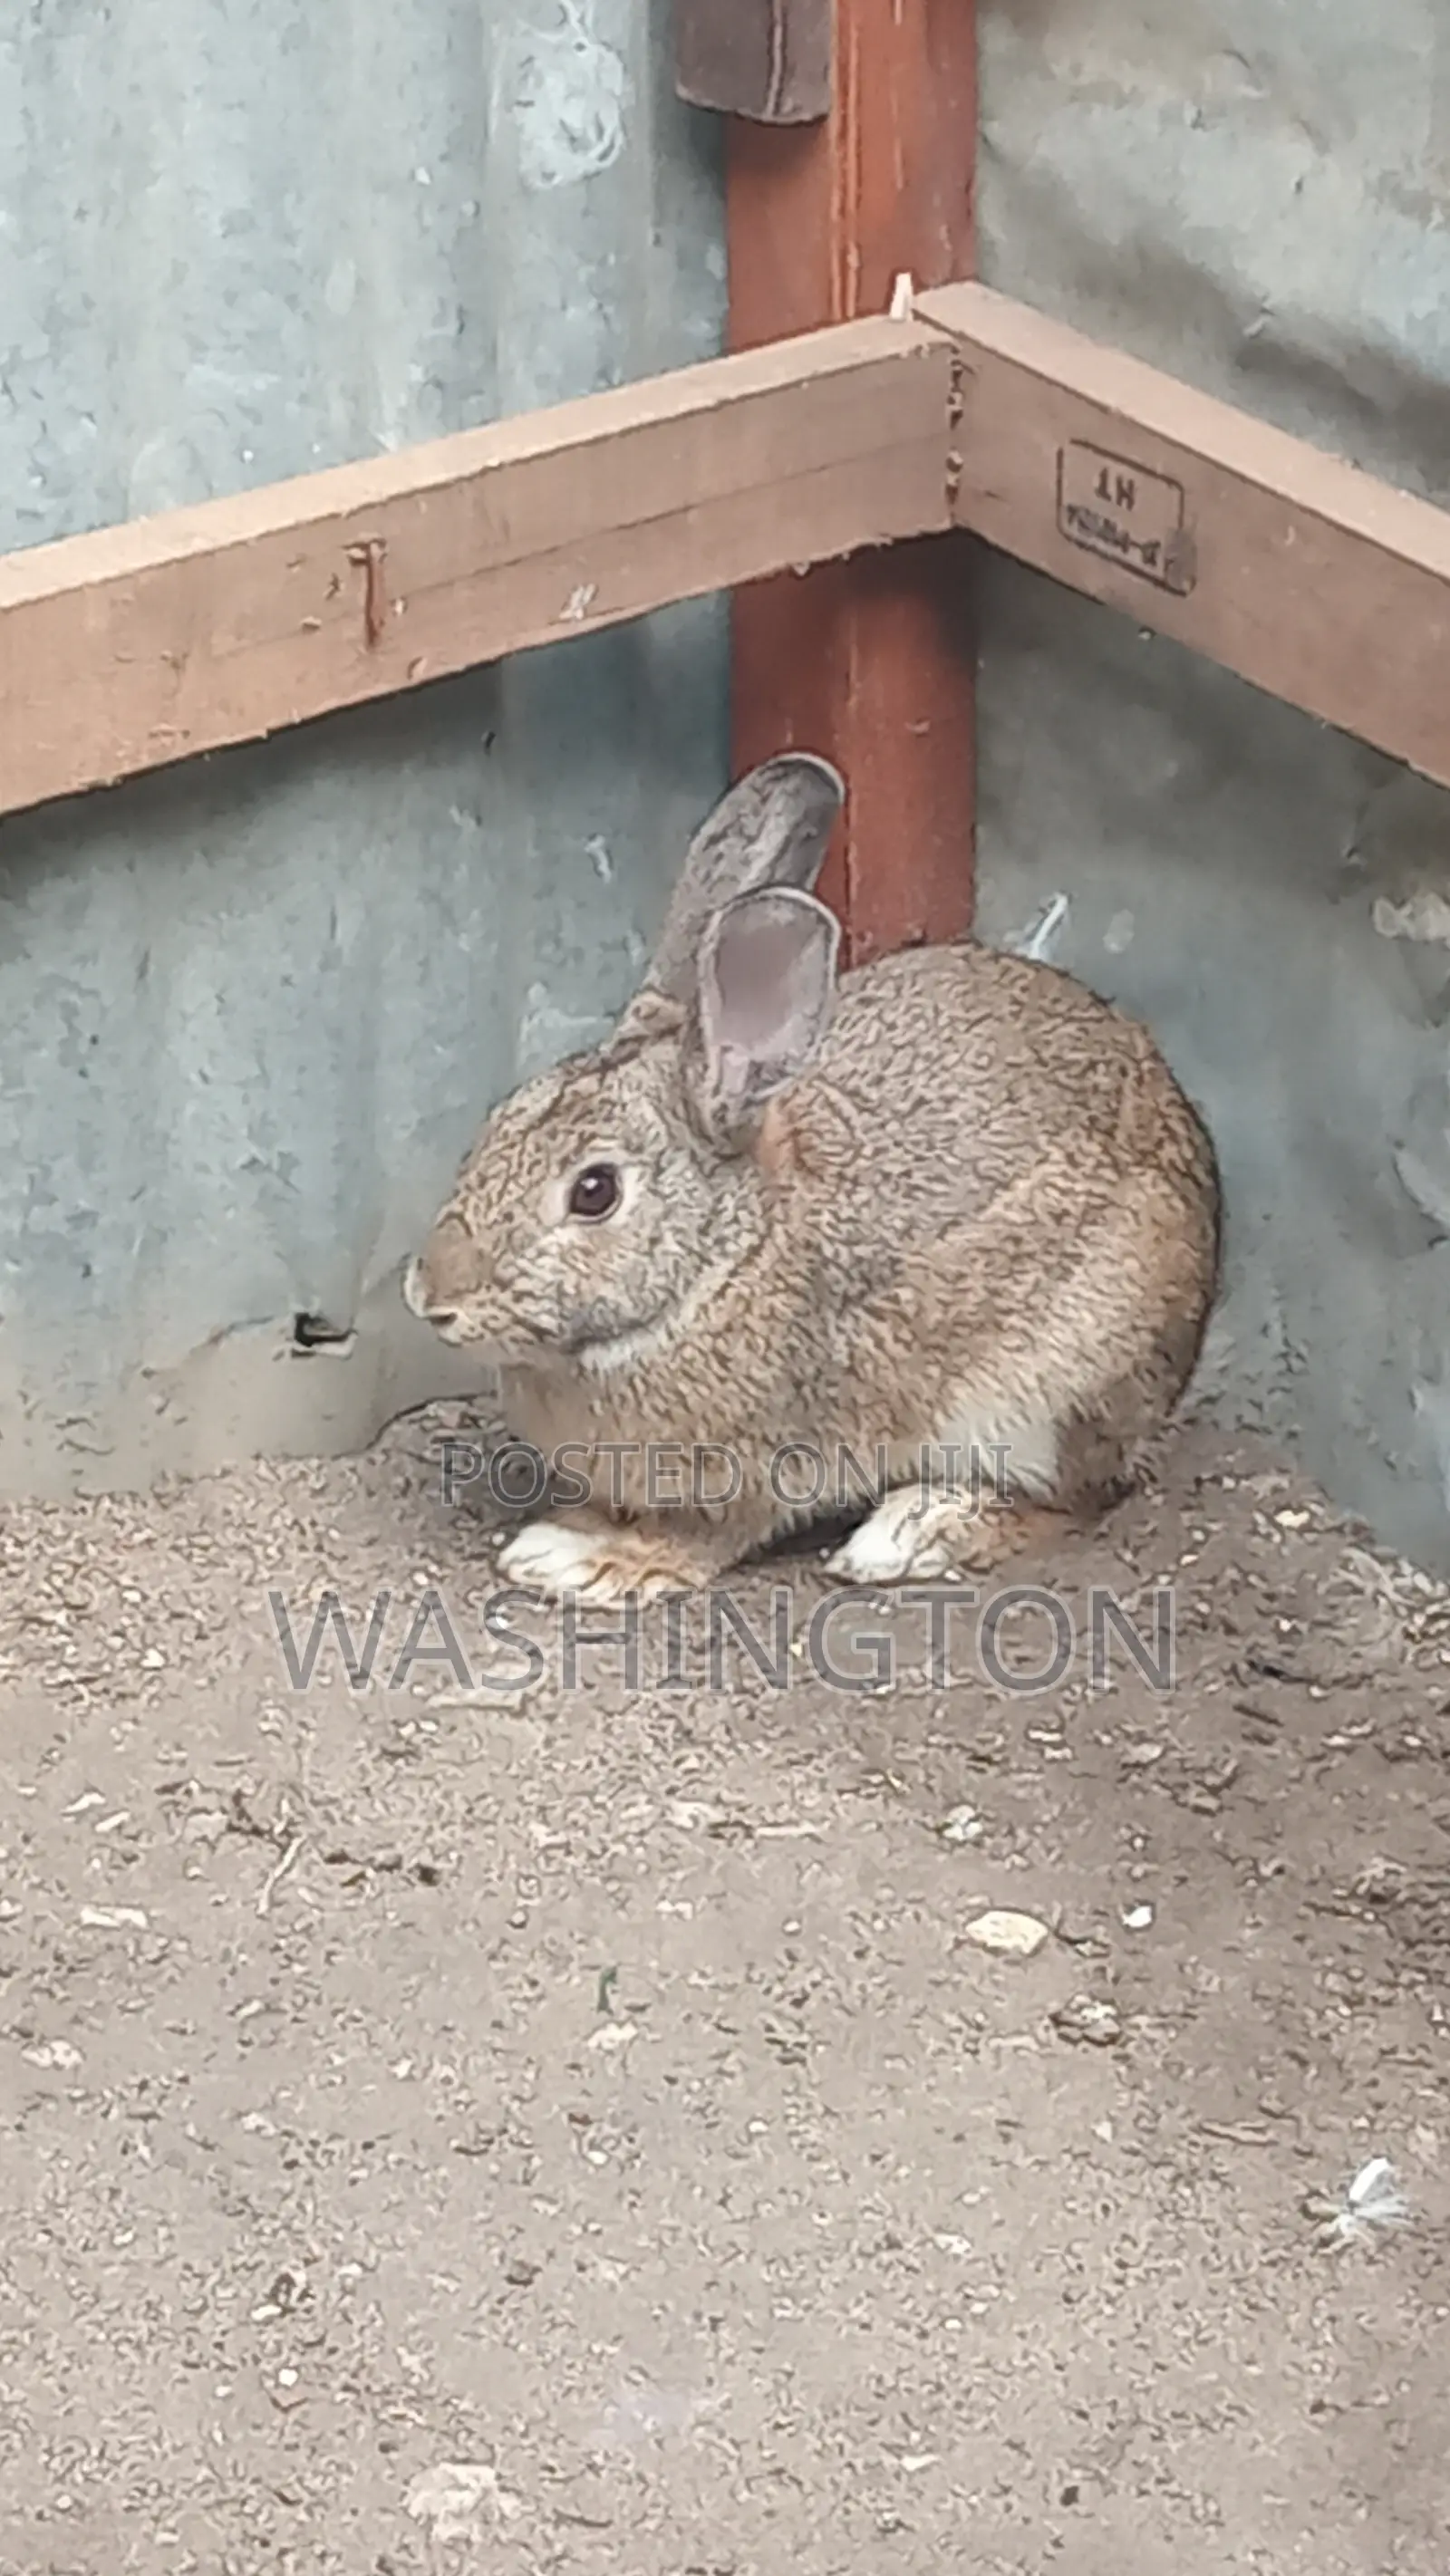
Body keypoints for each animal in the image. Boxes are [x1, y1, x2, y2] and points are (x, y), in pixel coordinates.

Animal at [403, 752, 1221, 1604]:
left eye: (594, 1191)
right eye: (501, 1119)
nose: (431, 1298)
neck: (723, 1263)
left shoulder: (764, 1464)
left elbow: (707, 1534)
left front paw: (586, 1559)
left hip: (1056, 1390)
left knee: (1075, 1498)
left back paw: (912, 1534)